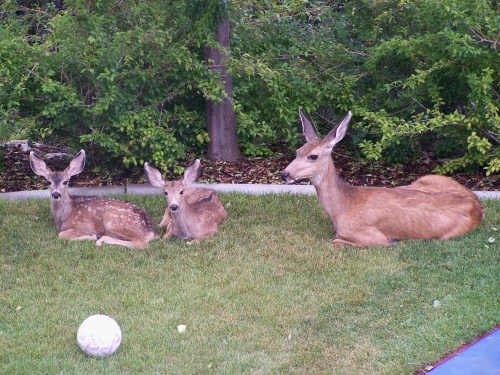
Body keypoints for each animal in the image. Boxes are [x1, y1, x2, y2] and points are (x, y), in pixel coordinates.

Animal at [29, 150, 158, 250]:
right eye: (48, 182)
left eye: (65, 182)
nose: (56, 194)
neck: (65, 215)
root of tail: (152, 231)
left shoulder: (83, 226)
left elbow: (61, 235)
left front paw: (92, 236)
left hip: (113, 221)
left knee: (141, 243)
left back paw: (100, 239)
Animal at [282, 108, 484, 248]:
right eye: (298, 151)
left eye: (313, 156)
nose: (285, 173)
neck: (342, 206)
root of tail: (477, 207)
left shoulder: (371, 236)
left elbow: (336, 240)